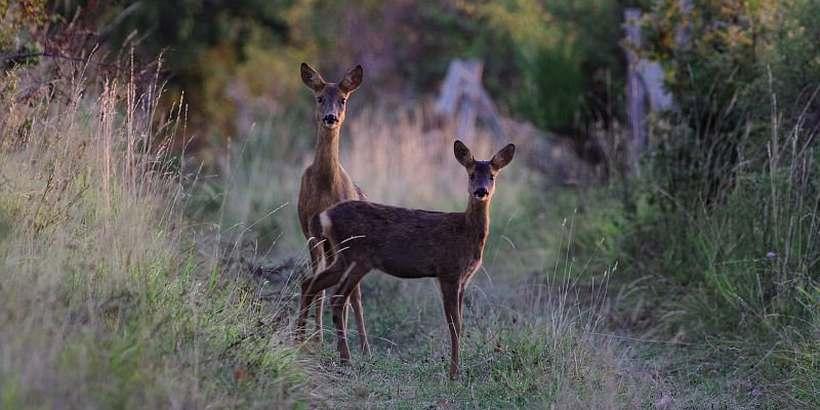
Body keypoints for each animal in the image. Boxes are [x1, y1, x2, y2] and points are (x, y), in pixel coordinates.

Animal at [296, 61, 370, 356]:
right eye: (319, 98)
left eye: (343, 99)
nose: (330, 118)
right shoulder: (310, 230)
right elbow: (316, 282)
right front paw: (314, 337)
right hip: (328, 244)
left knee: (356, 294)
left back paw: (364, 346)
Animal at [296, 140, 512, 378]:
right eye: (471, 174)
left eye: (492, 176)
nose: (481, 191)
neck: (466, 232)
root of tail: (326, 216)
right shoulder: (448, 271)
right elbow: (454, 324)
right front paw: (454, 374)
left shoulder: (464, 279)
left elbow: (461, 323)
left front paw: (457, 370)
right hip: (355, 256)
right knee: (336, 297)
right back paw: (345, 359)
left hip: (345, 258)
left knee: (310, 283)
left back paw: (300, 341)